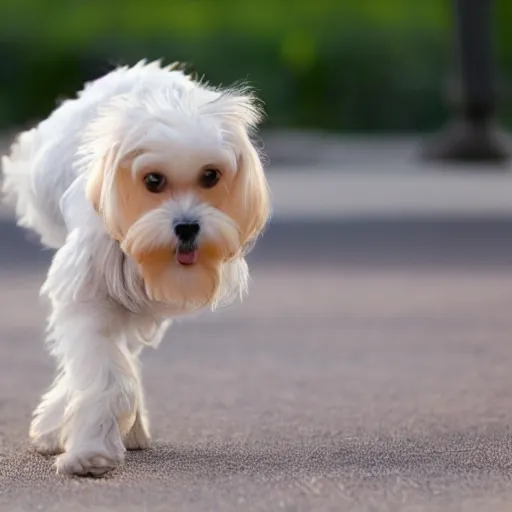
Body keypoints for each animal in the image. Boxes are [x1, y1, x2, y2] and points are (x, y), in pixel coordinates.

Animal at [1, 60, 272, 476]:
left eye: (211, 175)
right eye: (153, 180)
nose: (187, 226)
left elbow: (112, 370)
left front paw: (76, 433)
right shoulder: (89, 295)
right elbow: (107, 377)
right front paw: (88, 451)